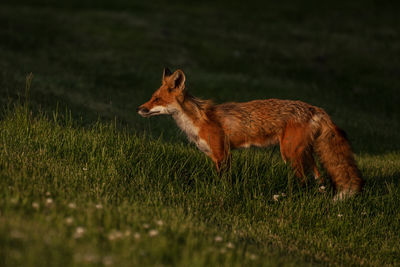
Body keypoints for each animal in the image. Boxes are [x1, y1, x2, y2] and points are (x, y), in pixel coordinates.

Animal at [137, 68, 362, 200]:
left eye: (157, 99)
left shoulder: (222, 153)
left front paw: (222, 194)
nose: (140, 109)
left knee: (305, 182)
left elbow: (223, 181)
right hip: (302, 153)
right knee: (319, 179)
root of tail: (315, 108)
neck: (197, 121)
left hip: (290, 154)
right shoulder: (214, 156)